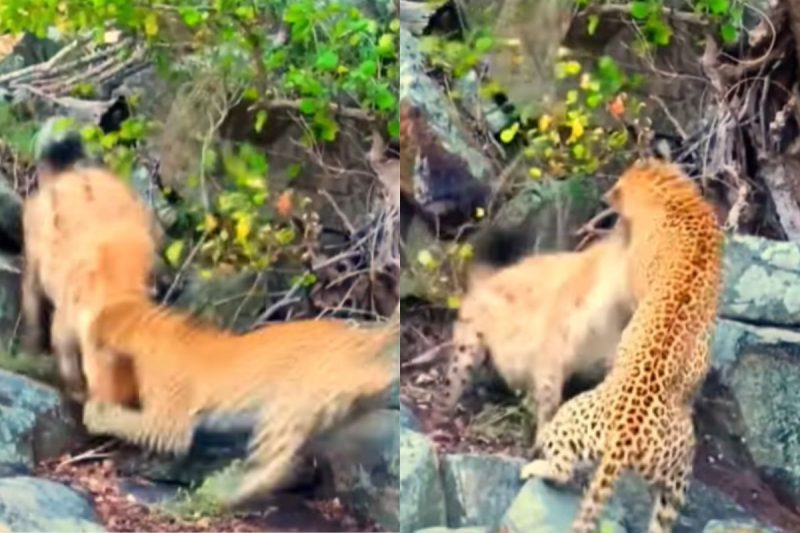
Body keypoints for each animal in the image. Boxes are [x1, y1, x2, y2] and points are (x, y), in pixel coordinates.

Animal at [520, 158, 723, 533]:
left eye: (616, 187)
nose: (604, 198)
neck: (676, 195)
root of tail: (626, 439)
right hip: (678, 473)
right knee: (664, 516)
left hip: (569, 419)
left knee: (561, 466)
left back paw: (535, 466)